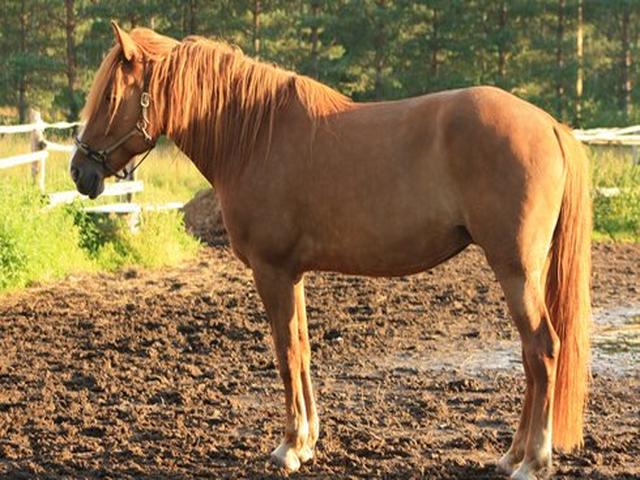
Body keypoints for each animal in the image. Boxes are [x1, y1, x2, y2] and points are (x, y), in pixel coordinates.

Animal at [70, 22, 592, 480]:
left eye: (109, 97)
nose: (79, 171)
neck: (254, 136)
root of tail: (549, 125)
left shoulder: (272, 271)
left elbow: (285, 353)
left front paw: (287, 448)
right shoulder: (292, 273)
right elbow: (301, 347)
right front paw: (306, 441)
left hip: (515, 269)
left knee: (542, 350)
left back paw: (532, 461)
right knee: (530, 357)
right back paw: (511, 456)